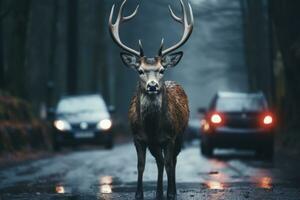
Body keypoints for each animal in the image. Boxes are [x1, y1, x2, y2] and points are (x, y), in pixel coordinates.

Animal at [109, 0, 193, 199]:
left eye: (162, 69)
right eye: (140, 70)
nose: (153, 86)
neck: (153, 127)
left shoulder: (170, 137)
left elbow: (170, 163)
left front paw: (171, 193)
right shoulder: (138, 138)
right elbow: (141, 165)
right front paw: (139, 194)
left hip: (181, 133)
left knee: (172, 161)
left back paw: (171, 190)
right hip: (154, 144)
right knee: (159, 162)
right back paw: (158, 192)